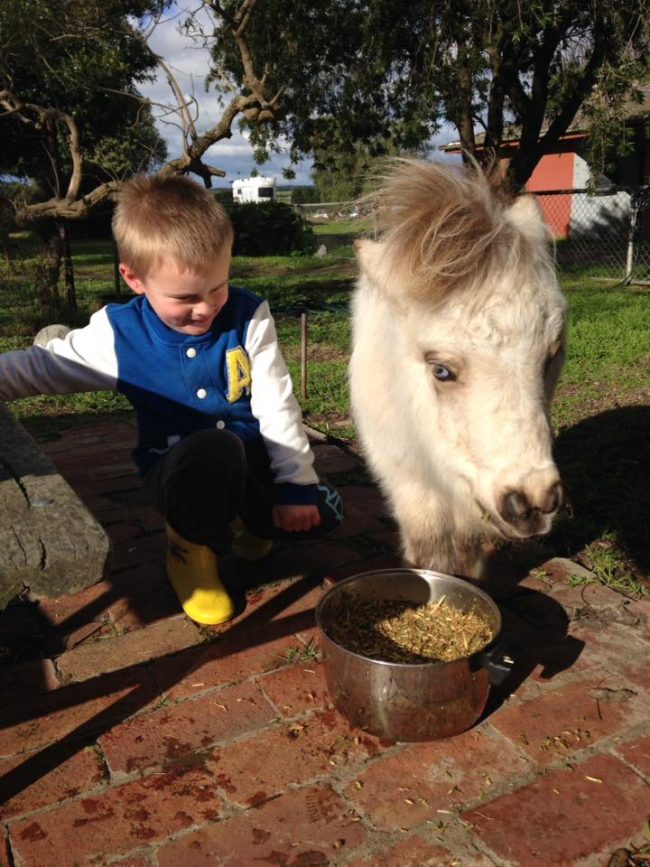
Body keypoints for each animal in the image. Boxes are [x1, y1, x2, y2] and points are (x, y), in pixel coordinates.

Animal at [346, 163, 564, 584]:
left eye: (551, 357)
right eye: (441, 370)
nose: (532, 503)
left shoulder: (467, 488)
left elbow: (463, 546)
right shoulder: (405, 474)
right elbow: (429, 541)